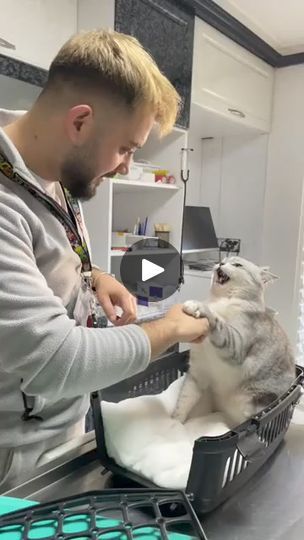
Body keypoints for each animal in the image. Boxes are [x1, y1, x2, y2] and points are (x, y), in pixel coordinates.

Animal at [173, 255, 294, 428]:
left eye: (237, 264)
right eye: (223, 260)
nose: (220, 263)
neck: (221, 301)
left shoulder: (236, 345)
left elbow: (218, 322)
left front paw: (198, 307)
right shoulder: (197, 373)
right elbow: (183, 402)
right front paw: (174, 424)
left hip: (257, 403)